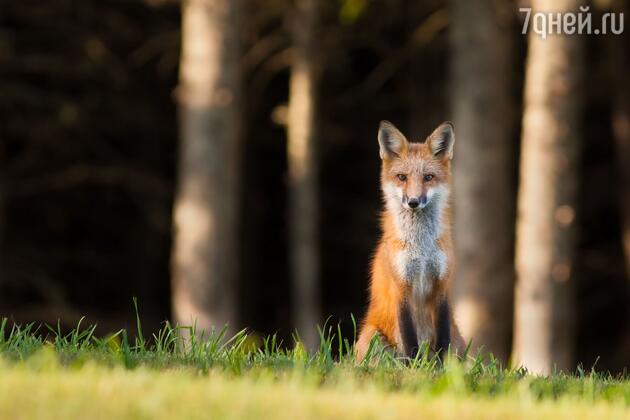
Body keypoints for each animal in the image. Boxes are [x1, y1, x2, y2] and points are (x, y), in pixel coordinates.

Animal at [358, 120, 466, 362]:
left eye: (428, 177)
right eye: (402, 177)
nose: (414, 201)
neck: (422, 248)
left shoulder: (442, 283)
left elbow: (442, 340)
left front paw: (440, 367)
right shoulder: (401, 286)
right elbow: (409, 340)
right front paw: (414, 366)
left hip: (459, 341)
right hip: (373, 337)